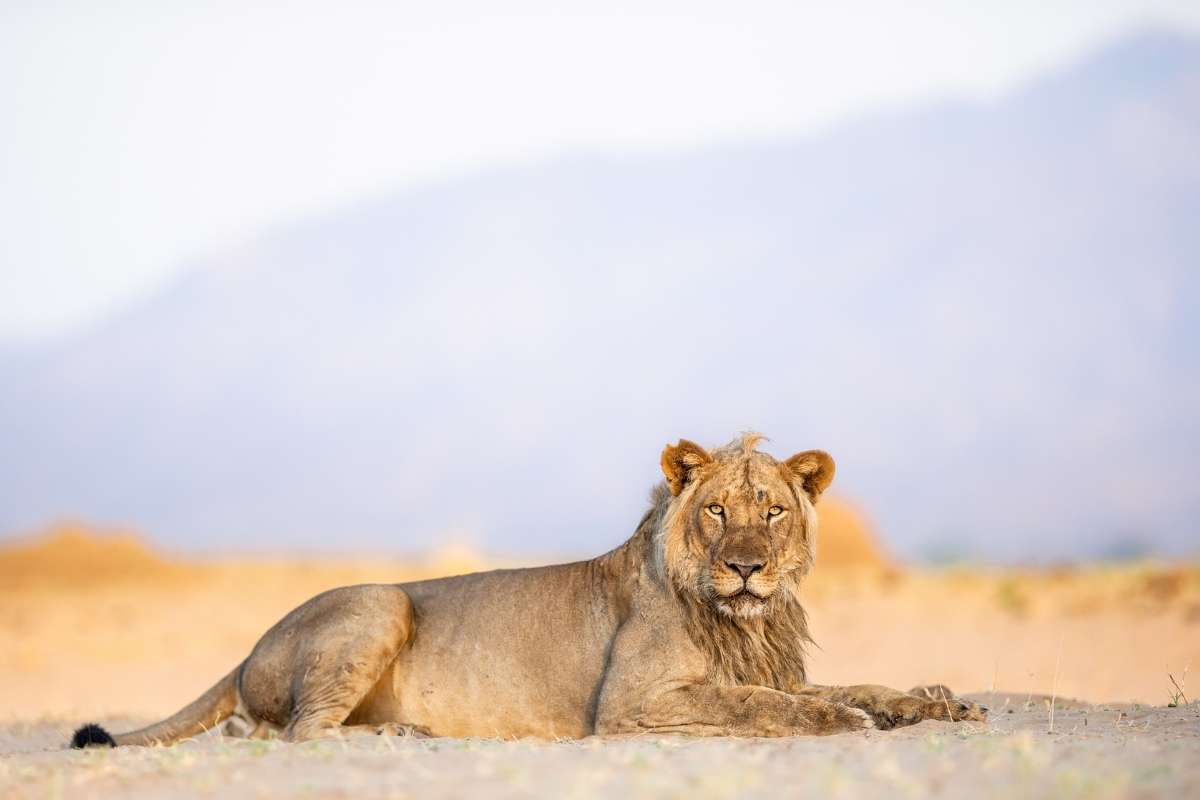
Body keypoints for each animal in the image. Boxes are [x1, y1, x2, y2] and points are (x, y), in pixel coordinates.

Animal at [71, 433, 984, 748]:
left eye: (773, 511)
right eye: (718, 510)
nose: (747, 567)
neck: (744, 620)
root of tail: (247, 649)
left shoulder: (776, 667)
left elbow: (852, 684)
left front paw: (936, 701)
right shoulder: (631, 703)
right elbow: (760, 706)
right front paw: (848, 723)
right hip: (380, 602)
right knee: (289, 732)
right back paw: (394, 736)